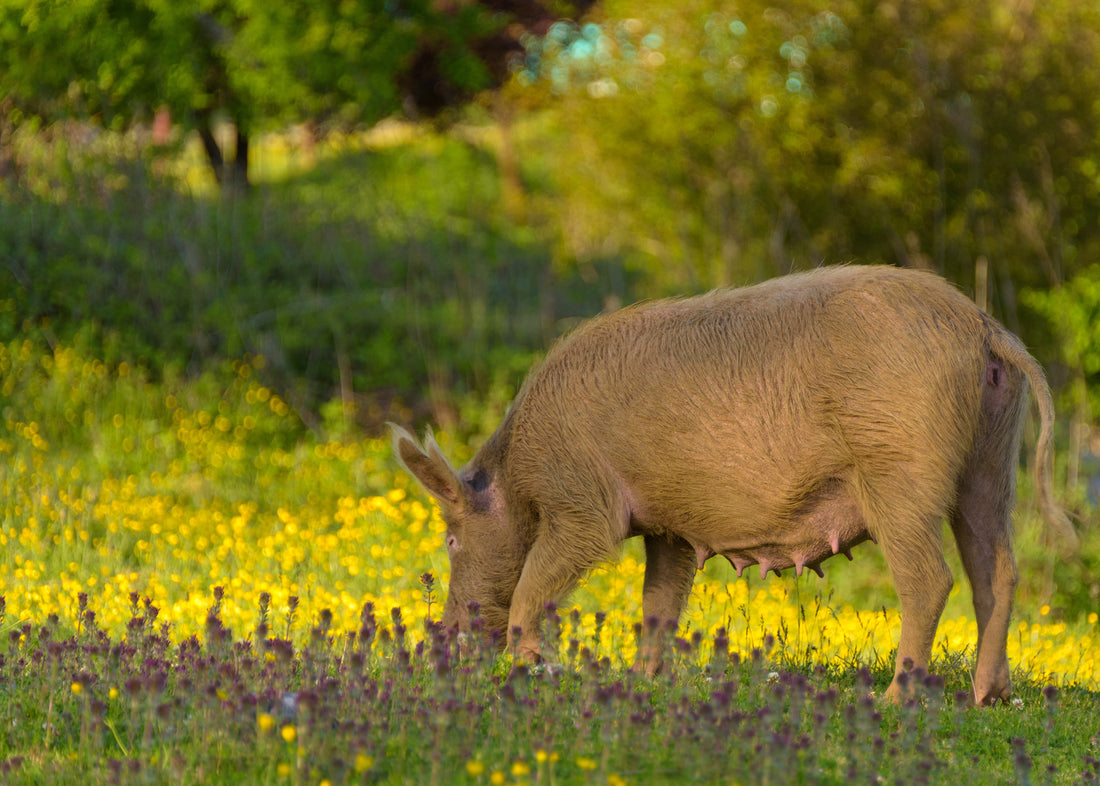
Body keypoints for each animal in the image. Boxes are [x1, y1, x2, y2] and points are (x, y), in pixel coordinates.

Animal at [392, 264, 1077, 705]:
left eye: (451, 539)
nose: (442, 637)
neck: (518, 476)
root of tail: (984, 327)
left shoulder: (582, 505)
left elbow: (540, 577)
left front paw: (529, 666)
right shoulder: (668, 529)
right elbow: (659, 603)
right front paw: (645, 681)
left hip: (900, 469)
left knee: (931, 579)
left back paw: (893, 699)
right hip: (992, 460)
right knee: (998, 569)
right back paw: (990, 697)